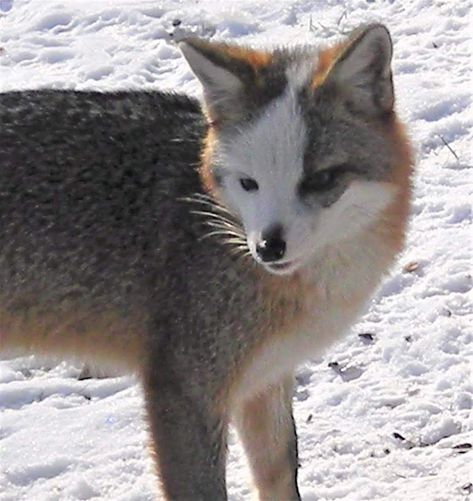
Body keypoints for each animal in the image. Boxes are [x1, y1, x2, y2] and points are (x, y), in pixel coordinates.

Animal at [0, 24, 412, 500]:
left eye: (321, 179)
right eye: (249, 183)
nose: (268, 247)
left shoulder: (265, 379)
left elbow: (280, 472)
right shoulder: (183, 389)